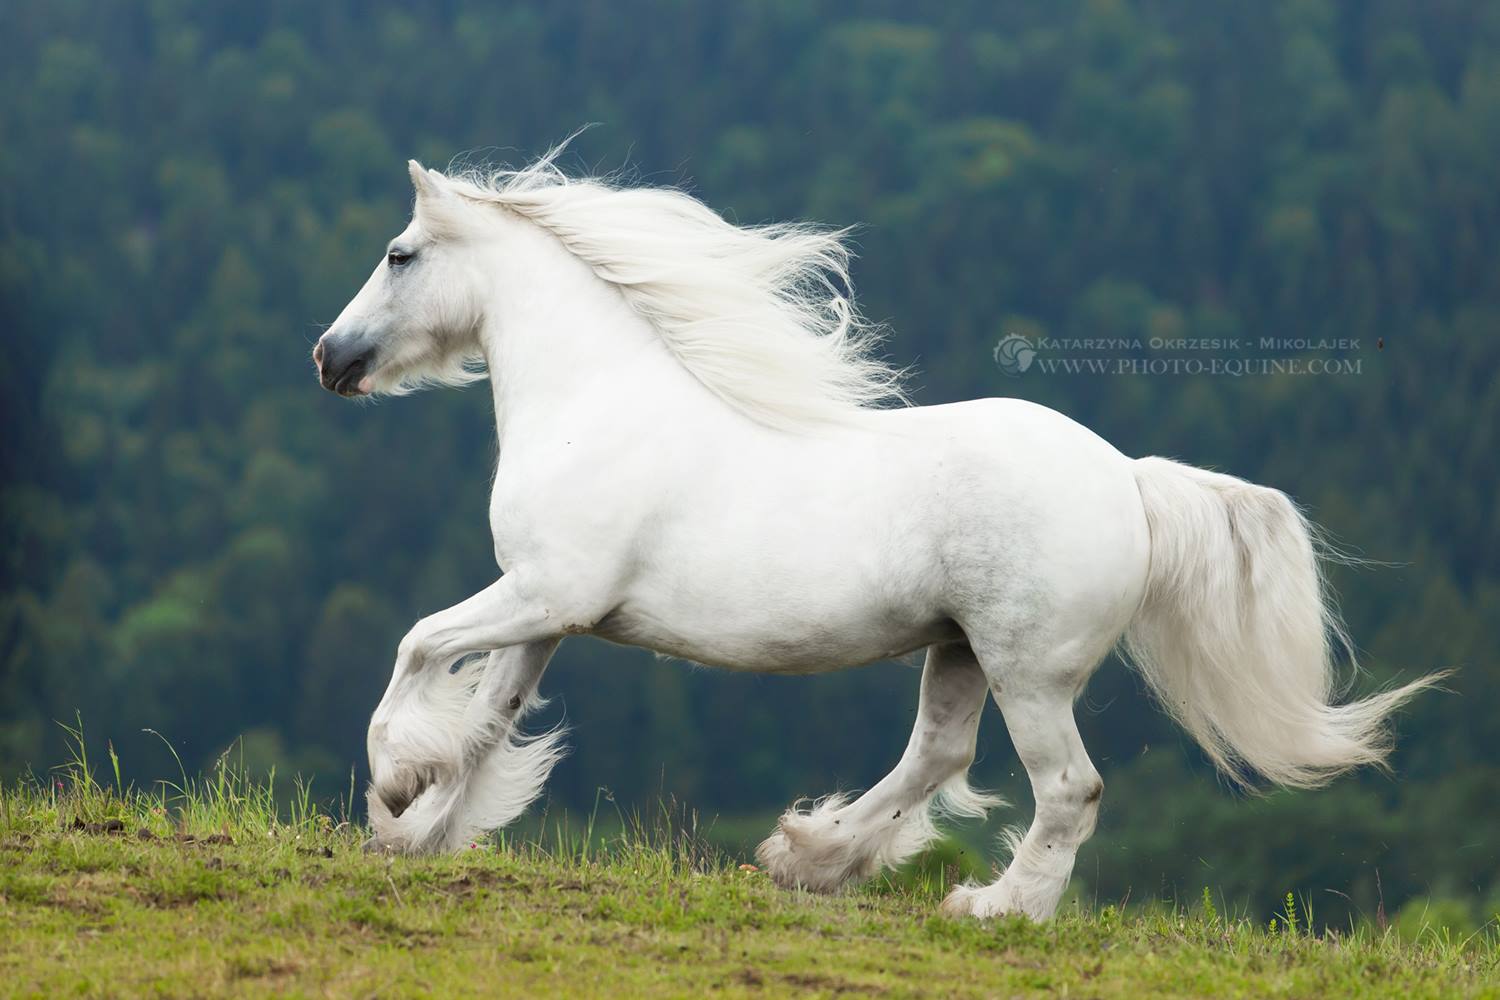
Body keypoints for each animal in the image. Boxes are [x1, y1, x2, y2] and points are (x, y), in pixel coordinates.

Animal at [310, 148, 1434, 923]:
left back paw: (993, 908)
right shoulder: (544, 615)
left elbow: (416, 647)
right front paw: (420, 835)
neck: (595, 403)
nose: (329, 357)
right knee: (937, 755)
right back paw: (806, 856)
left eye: (400, 254)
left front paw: (394, 787)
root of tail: (1129, 480)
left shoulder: (546, 593)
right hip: (959, 650)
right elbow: (484, 724)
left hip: (1029, 669)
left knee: (1069, 789)